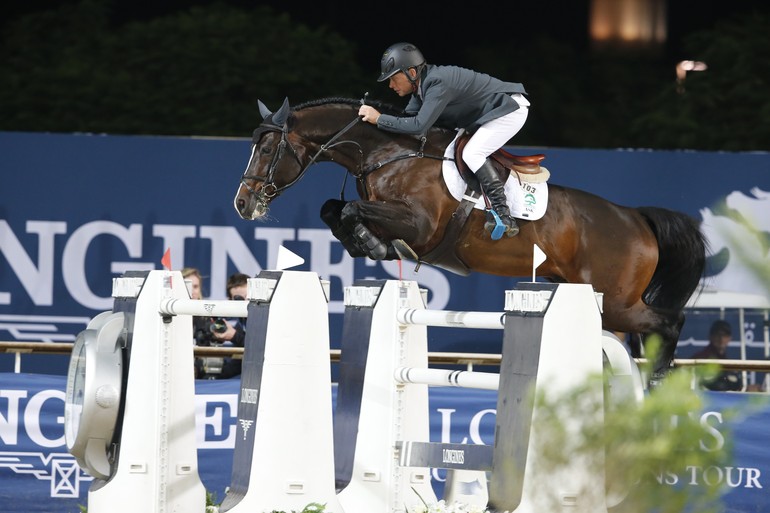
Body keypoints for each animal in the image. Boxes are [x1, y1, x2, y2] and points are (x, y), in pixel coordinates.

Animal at [231, 97, 704, 384]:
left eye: (267, 150)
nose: (242, 203)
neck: (387, 154)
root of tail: (636, 217)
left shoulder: (420, 225)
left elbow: (349, 212)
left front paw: (378, 246)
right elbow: (334, 209)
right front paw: (367, 245)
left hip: (619, 300)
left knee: (669, 322)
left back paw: (660, 379)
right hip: (590, 296)